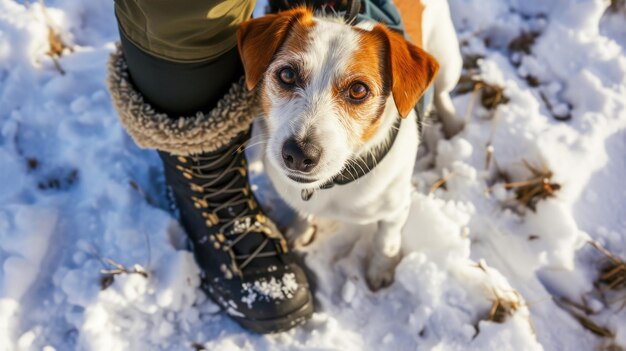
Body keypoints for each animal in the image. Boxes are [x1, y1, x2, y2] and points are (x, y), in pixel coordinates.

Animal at [236, 2, 460, 292]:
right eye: (287, 74)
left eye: (358, 90)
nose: (298, 154)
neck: (335, 181)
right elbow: (302, 211)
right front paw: (300, 230)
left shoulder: (396, 210)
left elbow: (386, 242)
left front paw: (380, 271)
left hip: (448, 59)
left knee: (442, 92)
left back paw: (453, 123)